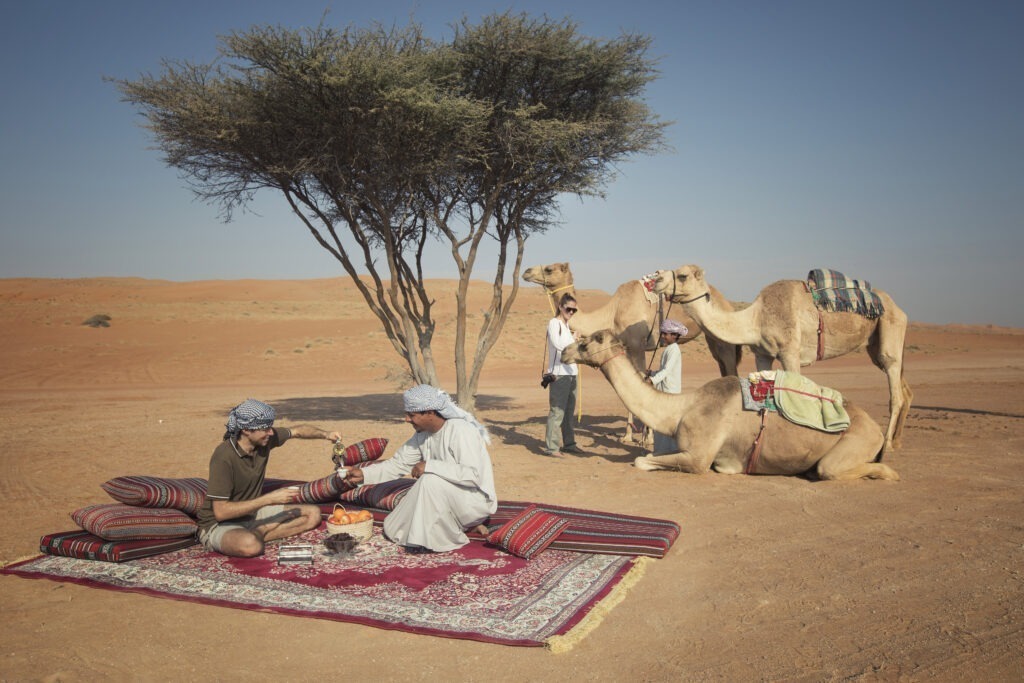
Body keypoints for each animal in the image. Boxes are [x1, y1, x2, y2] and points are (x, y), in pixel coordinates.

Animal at [565, 329, 901, 481]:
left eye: (587, 341)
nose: (566, 351)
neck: (681, 409)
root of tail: (875, 427)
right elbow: (649, 455)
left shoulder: (699, 457)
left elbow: (641, 460)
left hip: (855, 442)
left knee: (835, 468)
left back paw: (887, 472)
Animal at [655, 264, 913, 456]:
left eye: (682, 275)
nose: (657, 278)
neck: (755, 318)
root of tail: (899, 308)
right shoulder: (762, 354)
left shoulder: (790, 352)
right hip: (875, 345)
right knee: (903, 387)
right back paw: (899, 440)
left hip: (890, 330)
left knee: (895, 391)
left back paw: (888, 444)